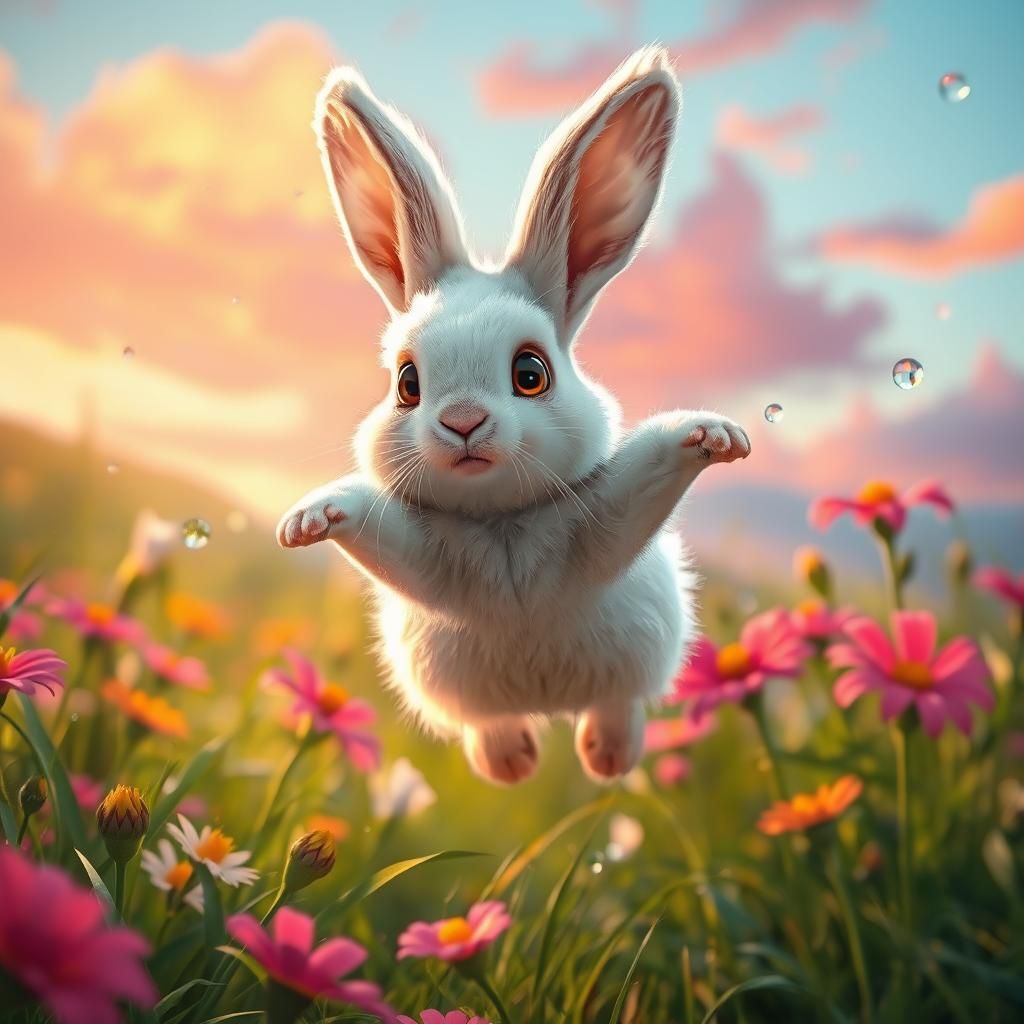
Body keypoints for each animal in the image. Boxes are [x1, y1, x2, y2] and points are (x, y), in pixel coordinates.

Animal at [277, 45, 750, 785]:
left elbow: (644, 480)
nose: (464, 422)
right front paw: (309, 520)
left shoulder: (602, 530)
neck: (502, 526)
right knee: (491, 725)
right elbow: (382, 538)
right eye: (407, 383)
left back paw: (604, 759)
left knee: (617, 707)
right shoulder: (429, 563)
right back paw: (513, 763)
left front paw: (713, 433)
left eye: (531, 374)